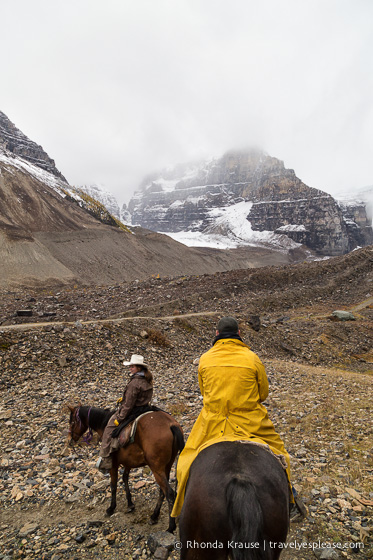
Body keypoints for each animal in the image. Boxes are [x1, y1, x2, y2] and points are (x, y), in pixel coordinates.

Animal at [67, 404, 184, 532]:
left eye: (72, 422)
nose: (70, 440)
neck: (104, 423)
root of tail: (171, 425)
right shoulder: (128, 462)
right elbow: (125, 478)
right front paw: (130, 504)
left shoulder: (113, 464)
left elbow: (113, 485)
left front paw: (111, 508)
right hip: (166, 466)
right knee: (162, 491)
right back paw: (154, 516)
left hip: (157, 468)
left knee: (170, 493)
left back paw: (170, 527)